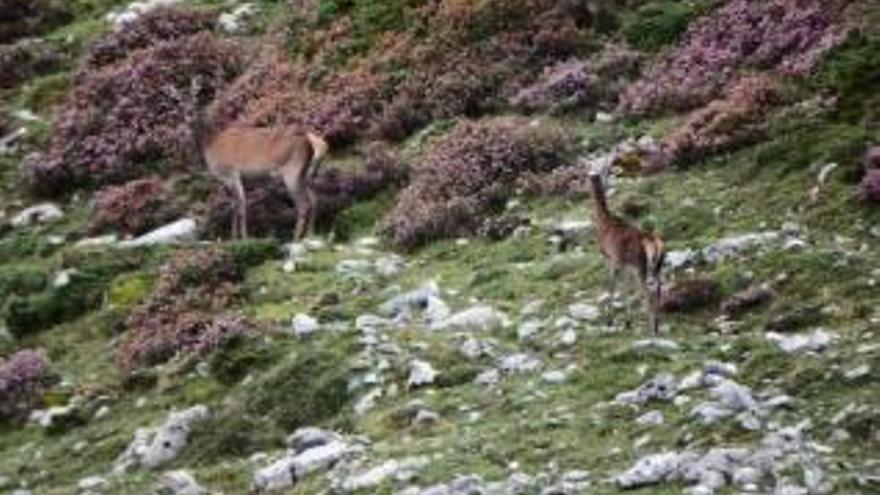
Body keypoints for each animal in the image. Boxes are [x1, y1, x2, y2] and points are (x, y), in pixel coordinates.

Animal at [177, 80, 328, 241]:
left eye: (195, 102)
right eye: (181, 104)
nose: (189, 115)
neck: (210, 145)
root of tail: (311, 144)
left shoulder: (231, 173)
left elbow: (240, 205)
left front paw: (242, 237)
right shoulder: (231, 179)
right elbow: (235, 205)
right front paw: (234, 236)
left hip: (292, 171)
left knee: (303, 205)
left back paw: (295, 238)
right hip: (307, 174)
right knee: (315, 200)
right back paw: (311, 234)